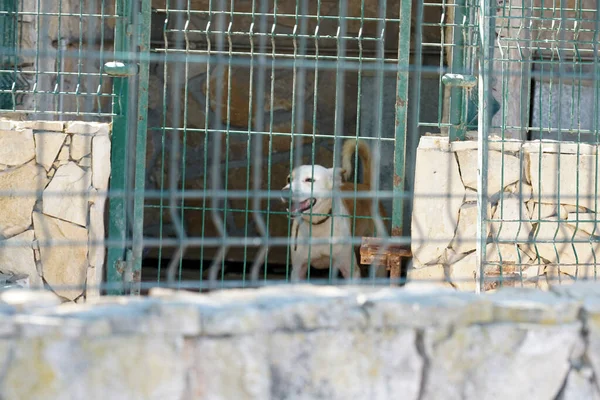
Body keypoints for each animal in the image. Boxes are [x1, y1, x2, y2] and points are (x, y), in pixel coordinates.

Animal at [280, 139, 386, 280]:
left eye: (309, 180)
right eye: (289, 179)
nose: (284, 191)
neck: (317, 224)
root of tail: (367, 186)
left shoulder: (350, 270)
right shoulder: (298, 270)